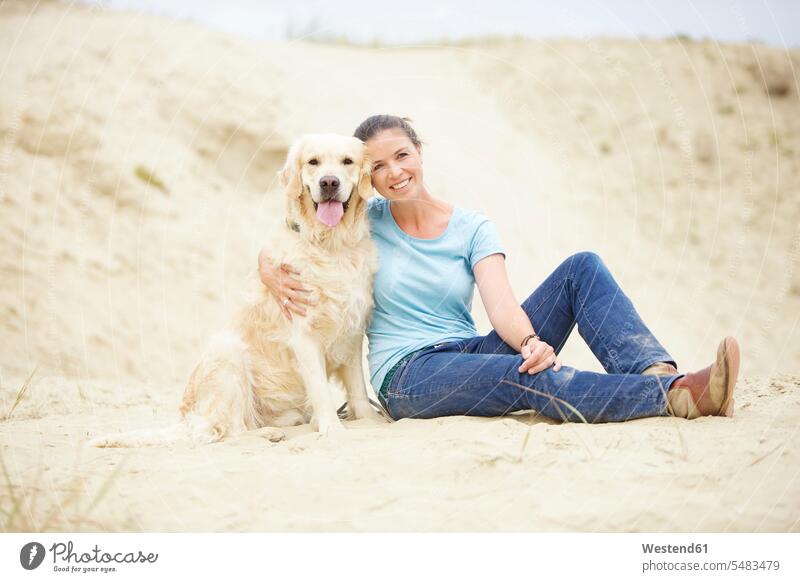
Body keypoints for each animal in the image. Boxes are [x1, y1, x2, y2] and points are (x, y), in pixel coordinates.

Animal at [90, 136, 382, 448]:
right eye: (313, 162)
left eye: (347, 162)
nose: (329, 182)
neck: (332, 247)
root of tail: (185, 419)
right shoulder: (303, 334)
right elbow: (320, 390)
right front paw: (331, 428)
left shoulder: (351, 330)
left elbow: (357, 387)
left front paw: (370, 421)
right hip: (226, 351)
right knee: (224, 431)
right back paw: (267, 434)